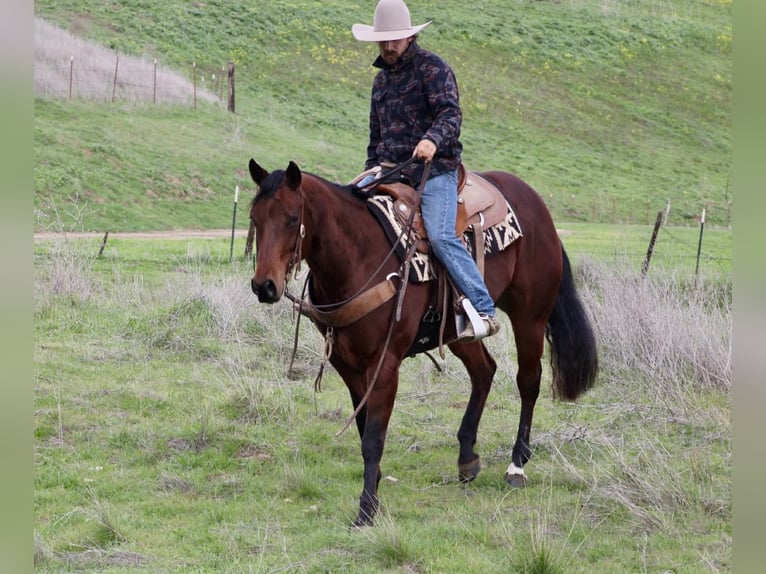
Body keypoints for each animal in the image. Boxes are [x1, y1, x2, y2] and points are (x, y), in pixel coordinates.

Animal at [247, 158, 598, 527]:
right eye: (254, 218)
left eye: (292, 218)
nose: (264, 286)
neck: (358, 257)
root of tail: (537, 205)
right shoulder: (346, 363)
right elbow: (362, 425)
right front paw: (374, 484)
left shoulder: (385, 363)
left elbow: (373, 437)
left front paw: (367, 509)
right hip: (458, 331)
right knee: (484, 371)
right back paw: (467, 457)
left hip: (530, 316)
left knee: (528, 382)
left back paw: (516, 465)